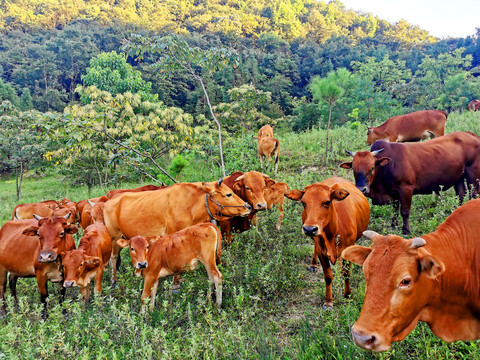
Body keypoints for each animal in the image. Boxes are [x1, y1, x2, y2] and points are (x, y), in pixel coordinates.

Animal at [102, 180, 251, 284]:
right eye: (228, 194)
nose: (248, 207)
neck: (190, 205)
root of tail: (109, 201)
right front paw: (176, 284)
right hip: (114, 237)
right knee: (113, 258)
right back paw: (114, 281)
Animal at [340, 131, 480, 235]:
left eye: (372, 168)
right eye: (354, 169)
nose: (361, 189)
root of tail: (472, 135)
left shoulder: (406, 189)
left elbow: (404, 211)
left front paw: (406, 231)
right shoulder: (393, 193)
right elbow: (395, 211)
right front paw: (393, 226)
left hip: (473, 177)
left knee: (473, 195)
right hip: (459, 178)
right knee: (461, 195)